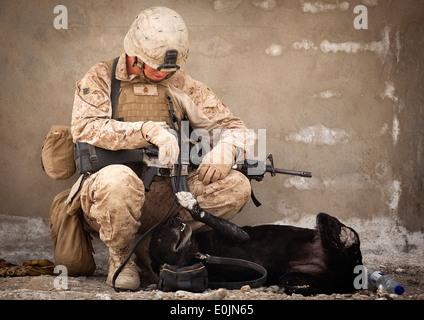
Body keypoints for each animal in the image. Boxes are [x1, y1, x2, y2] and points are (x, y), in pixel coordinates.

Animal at [148, 192, 362, 296]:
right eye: (158, 239)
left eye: (165, 228)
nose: (173, 219)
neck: (198, 252)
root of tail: (347, 277)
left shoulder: (240, 235)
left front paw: (191, 205)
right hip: (294, 276)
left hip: (323, 221)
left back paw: (346, 236)